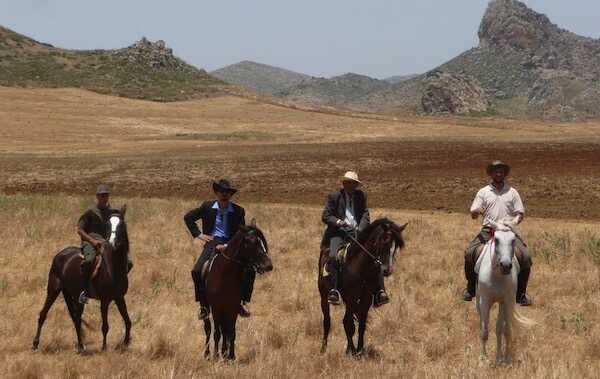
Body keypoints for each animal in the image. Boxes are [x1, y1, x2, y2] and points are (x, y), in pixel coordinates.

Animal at [32, 206, 132, 354]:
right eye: (108, 226)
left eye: (122, 225)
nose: (112, 243)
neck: (112, 268)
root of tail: (60, 254)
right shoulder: (105, 300)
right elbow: (105, 326)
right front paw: (104, 348)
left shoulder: (119, 297)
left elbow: (128, 321)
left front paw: (125, 344)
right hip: (53, 290)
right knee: (43, 314)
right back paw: (35, 344)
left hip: (73, 294)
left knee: (76, 318)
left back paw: (81, 346)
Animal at [204, 224, 274, 360]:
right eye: (251, 243)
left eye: (262, 243)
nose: (269, 265)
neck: (225, 275)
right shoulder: (216, 308)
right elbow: (217, 333)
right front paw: (216, 356)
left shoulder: (233, 307)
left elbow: (231, 332)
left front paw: (230, 356)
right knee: (208, 328)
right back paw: (208, 353)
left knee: (225, 330)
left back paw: (224, 353)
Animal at [318, 218, 408, 358]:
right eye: (384, 242)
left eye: (396, 247)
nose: (387, 270)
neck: (361, 267)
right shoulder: (350, 298)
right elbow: (348, 324)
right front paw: (352, 351)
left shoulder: (366, 299)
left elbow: (361, 325)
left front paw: (359, 350)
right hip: (324, 297)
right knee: (327, 321)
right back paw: (323, 348)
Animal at [476, 217, 536, 366]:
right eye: (496, 239)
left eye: (513, 240)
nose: (506, 265)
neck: (497, 275)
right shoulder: (485, 302)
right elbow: (484, 331)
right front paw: (483, 358)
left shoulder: (507, 301)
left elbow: (505, 330)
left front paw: (505, 358)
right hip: (478, 302)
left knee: (500, 328)